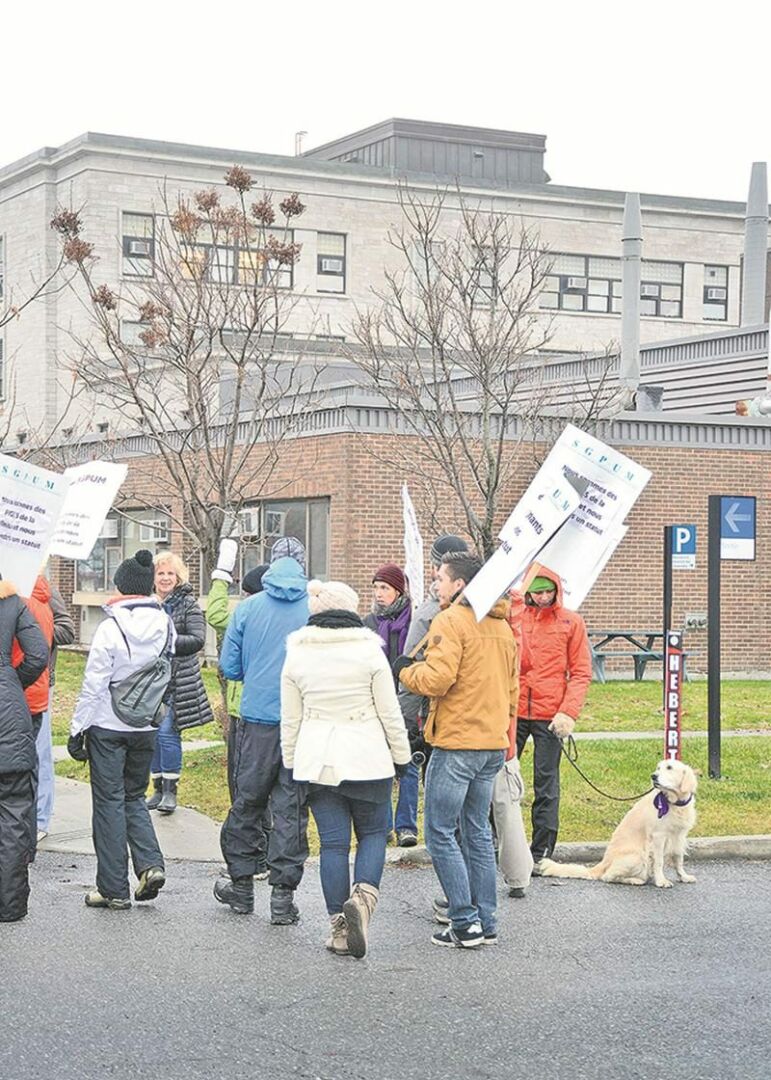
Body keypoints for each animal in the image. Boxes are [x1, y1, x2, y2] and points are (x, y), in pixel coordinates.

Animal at [537, 756, 695, 889]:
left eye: (669, 767)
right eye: (658, 768)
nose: (653, 776)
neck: (674, 803)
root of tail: (601, 864)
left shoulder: (679, 837)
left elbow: (678, 859)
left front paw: (684, 876)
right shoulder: (658, 837)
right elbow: (659, 862)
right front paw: (661, 881)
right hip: (637, 856)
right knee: (608, 877)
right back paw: (635, 880)